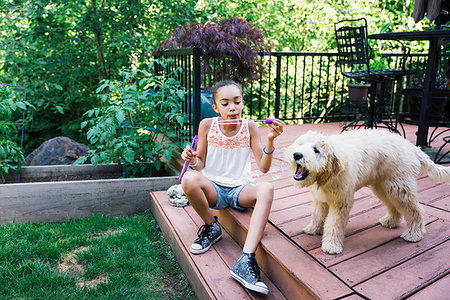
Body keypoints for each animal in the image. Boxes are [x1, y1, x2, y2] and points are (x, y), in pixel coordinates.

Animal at [284, 127, 450, 254]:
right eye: (300, 145)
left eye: (316, 150)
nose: (297, 154)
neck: (326, 175)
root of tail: (411, 146)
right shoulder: (321, 199)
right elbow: (318, 215)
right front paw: (313, 229)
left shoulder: (341, 202)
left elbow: (334, 225)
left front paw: (331, 246)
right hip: (383, 187)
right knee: (394, 206)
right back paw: (390, 221)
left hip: (399, 187)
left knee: (415, 210)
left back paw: (414, 234)